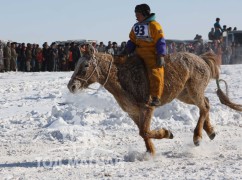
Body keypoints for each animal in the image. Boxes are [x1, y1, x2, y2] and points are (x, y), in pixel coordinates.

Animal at [67, 50, 242, 155]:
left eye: (86, 65)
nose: (71, 86)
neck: (121, 77)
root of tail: (202, 59)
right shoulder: (133, 113)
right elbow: (143, 132)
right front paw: (150, 152)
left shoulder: (147, 108)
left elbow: (144, 131)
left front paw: (167, 133)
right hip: (184, 94)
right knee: (205, 104)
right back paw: (210, 131)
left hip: (194, 90)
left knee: (204, 106)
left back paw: (197, 136)